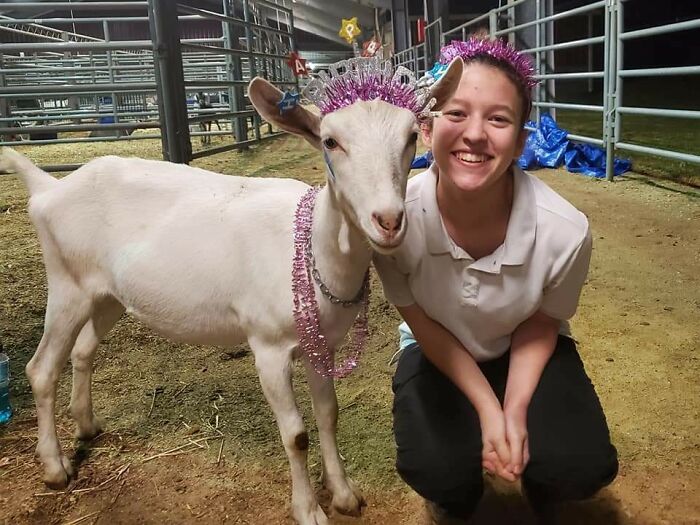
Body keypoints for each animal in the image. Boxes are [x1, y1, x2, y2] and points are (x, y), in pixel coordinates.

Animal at [0, 60, 461, 525]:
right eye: (331, 141)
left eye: (411, 137)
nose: (388, 220)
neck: (312, 246)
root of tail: (48, 189)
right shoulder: (268, 344)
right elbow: (296, 434)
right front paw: (308, 509)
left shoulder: (321, 344)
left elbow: (328, 415)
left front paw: (345, 494)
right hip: (67, 283)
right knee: (41, 369)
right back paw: (55, 467)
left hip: (106, 294)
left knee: (82, 350)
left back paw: (87, 425)